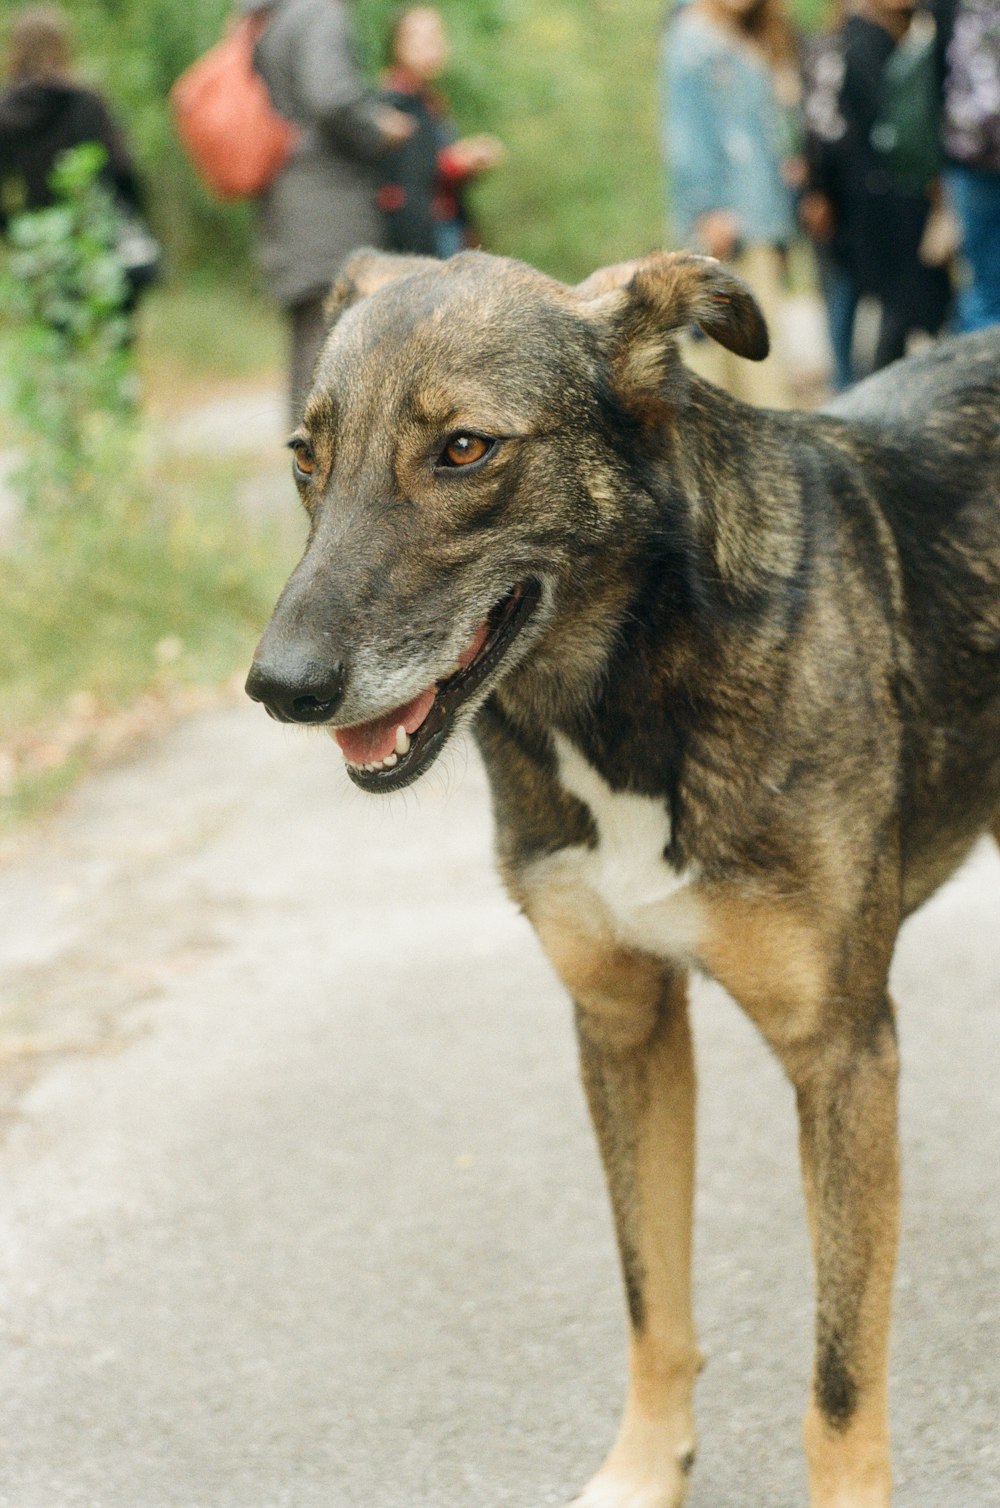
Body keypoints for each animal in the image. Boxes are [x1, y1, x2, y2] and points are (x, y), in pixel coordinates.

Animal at [244, 250, 1000, 1508]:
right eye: (306, 455)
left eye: (464, 450)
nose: (279, 687)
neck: (629, 683)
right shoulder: (621, 1019)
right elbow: (652, 1296)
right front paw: (645, 1467)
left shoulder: (842, 1054)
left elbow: (839, 1376)